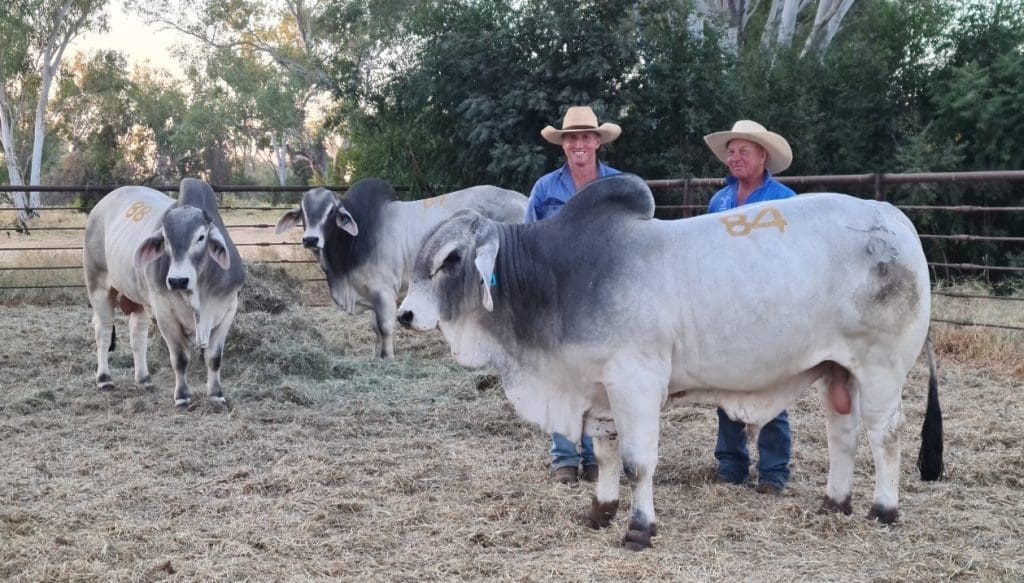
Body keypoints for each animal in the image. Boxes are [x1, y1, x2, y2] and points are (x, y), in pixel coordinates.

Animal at [83, 178, 245, 408]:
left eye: (201, 237)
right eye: (166, 240)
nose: (178, 280)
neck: (199, 294)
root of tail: (102, 204)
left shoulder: (228, 310)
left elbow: (214, 358)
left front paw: (216, 395)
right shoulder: (164, 312)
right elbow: (180, 358)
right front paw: (182, 397)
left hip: (140, 300)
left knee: (137, 336)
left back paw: (144, 380)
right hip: (97, 284)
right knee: (103, 331)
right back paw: (104, 379)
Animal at [275, 178, 527, 358]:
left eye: (330, 212)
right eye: (302, 212)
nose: (310, 239)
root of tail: (522, 199)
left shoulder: (384, 290)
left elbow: (385, 327)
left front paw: (389, 358)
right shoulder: (372, 294)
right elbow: (375, 328)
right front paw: (377, 356)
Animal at [397, 173, 944, 550]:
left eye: (450, 259)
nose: (404, 314)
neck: (556, 278)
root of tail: (895, 218)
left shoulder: (636, 382)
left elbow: (638, 462)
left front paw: (639, 529)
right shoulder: (599, 390)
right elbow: (608, 455)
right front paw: (600, 512)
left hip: (880, 370)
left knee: (885, 436)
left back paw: (883, 509)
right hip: (838, 371)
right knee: (842, 436)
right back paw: (835, 503)